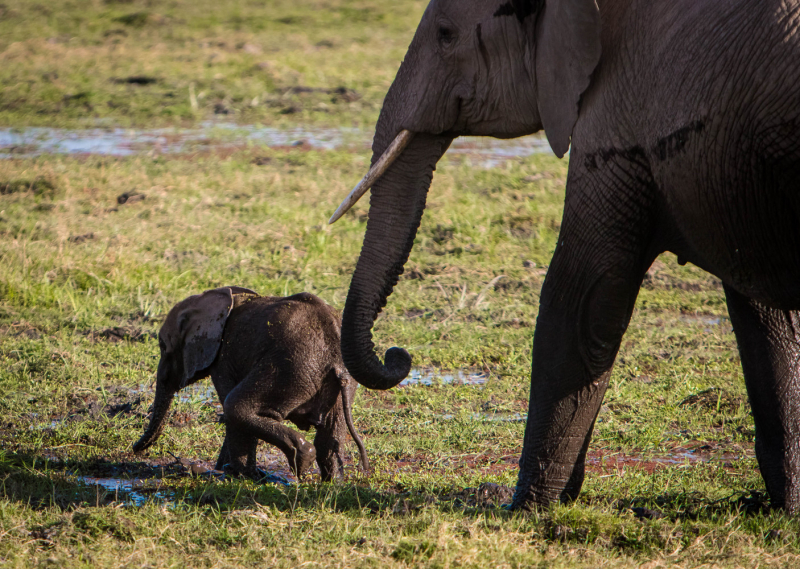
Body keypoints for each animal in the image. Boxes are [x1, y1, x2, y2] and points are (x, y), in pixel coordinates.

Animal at [132, 284, 368, 480]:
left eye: (163, 347)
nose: (135, 448)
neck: (209, 299)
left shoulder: (223, 358)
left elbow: (228, 404)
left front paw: (231, 474)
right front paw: (227, 470)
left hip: (291, 367)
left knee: (235, 406)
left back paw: (301, 461)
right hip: (337, 380)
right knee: (331, 433)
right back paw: (333, 482)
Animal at [328, 0, 800, 510]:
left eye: (446, 35)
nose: (398, 356)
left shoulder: (615, 111)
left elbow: (579, 300)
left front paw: (525, 508)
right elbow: (768, 319)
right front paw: (784, 508)